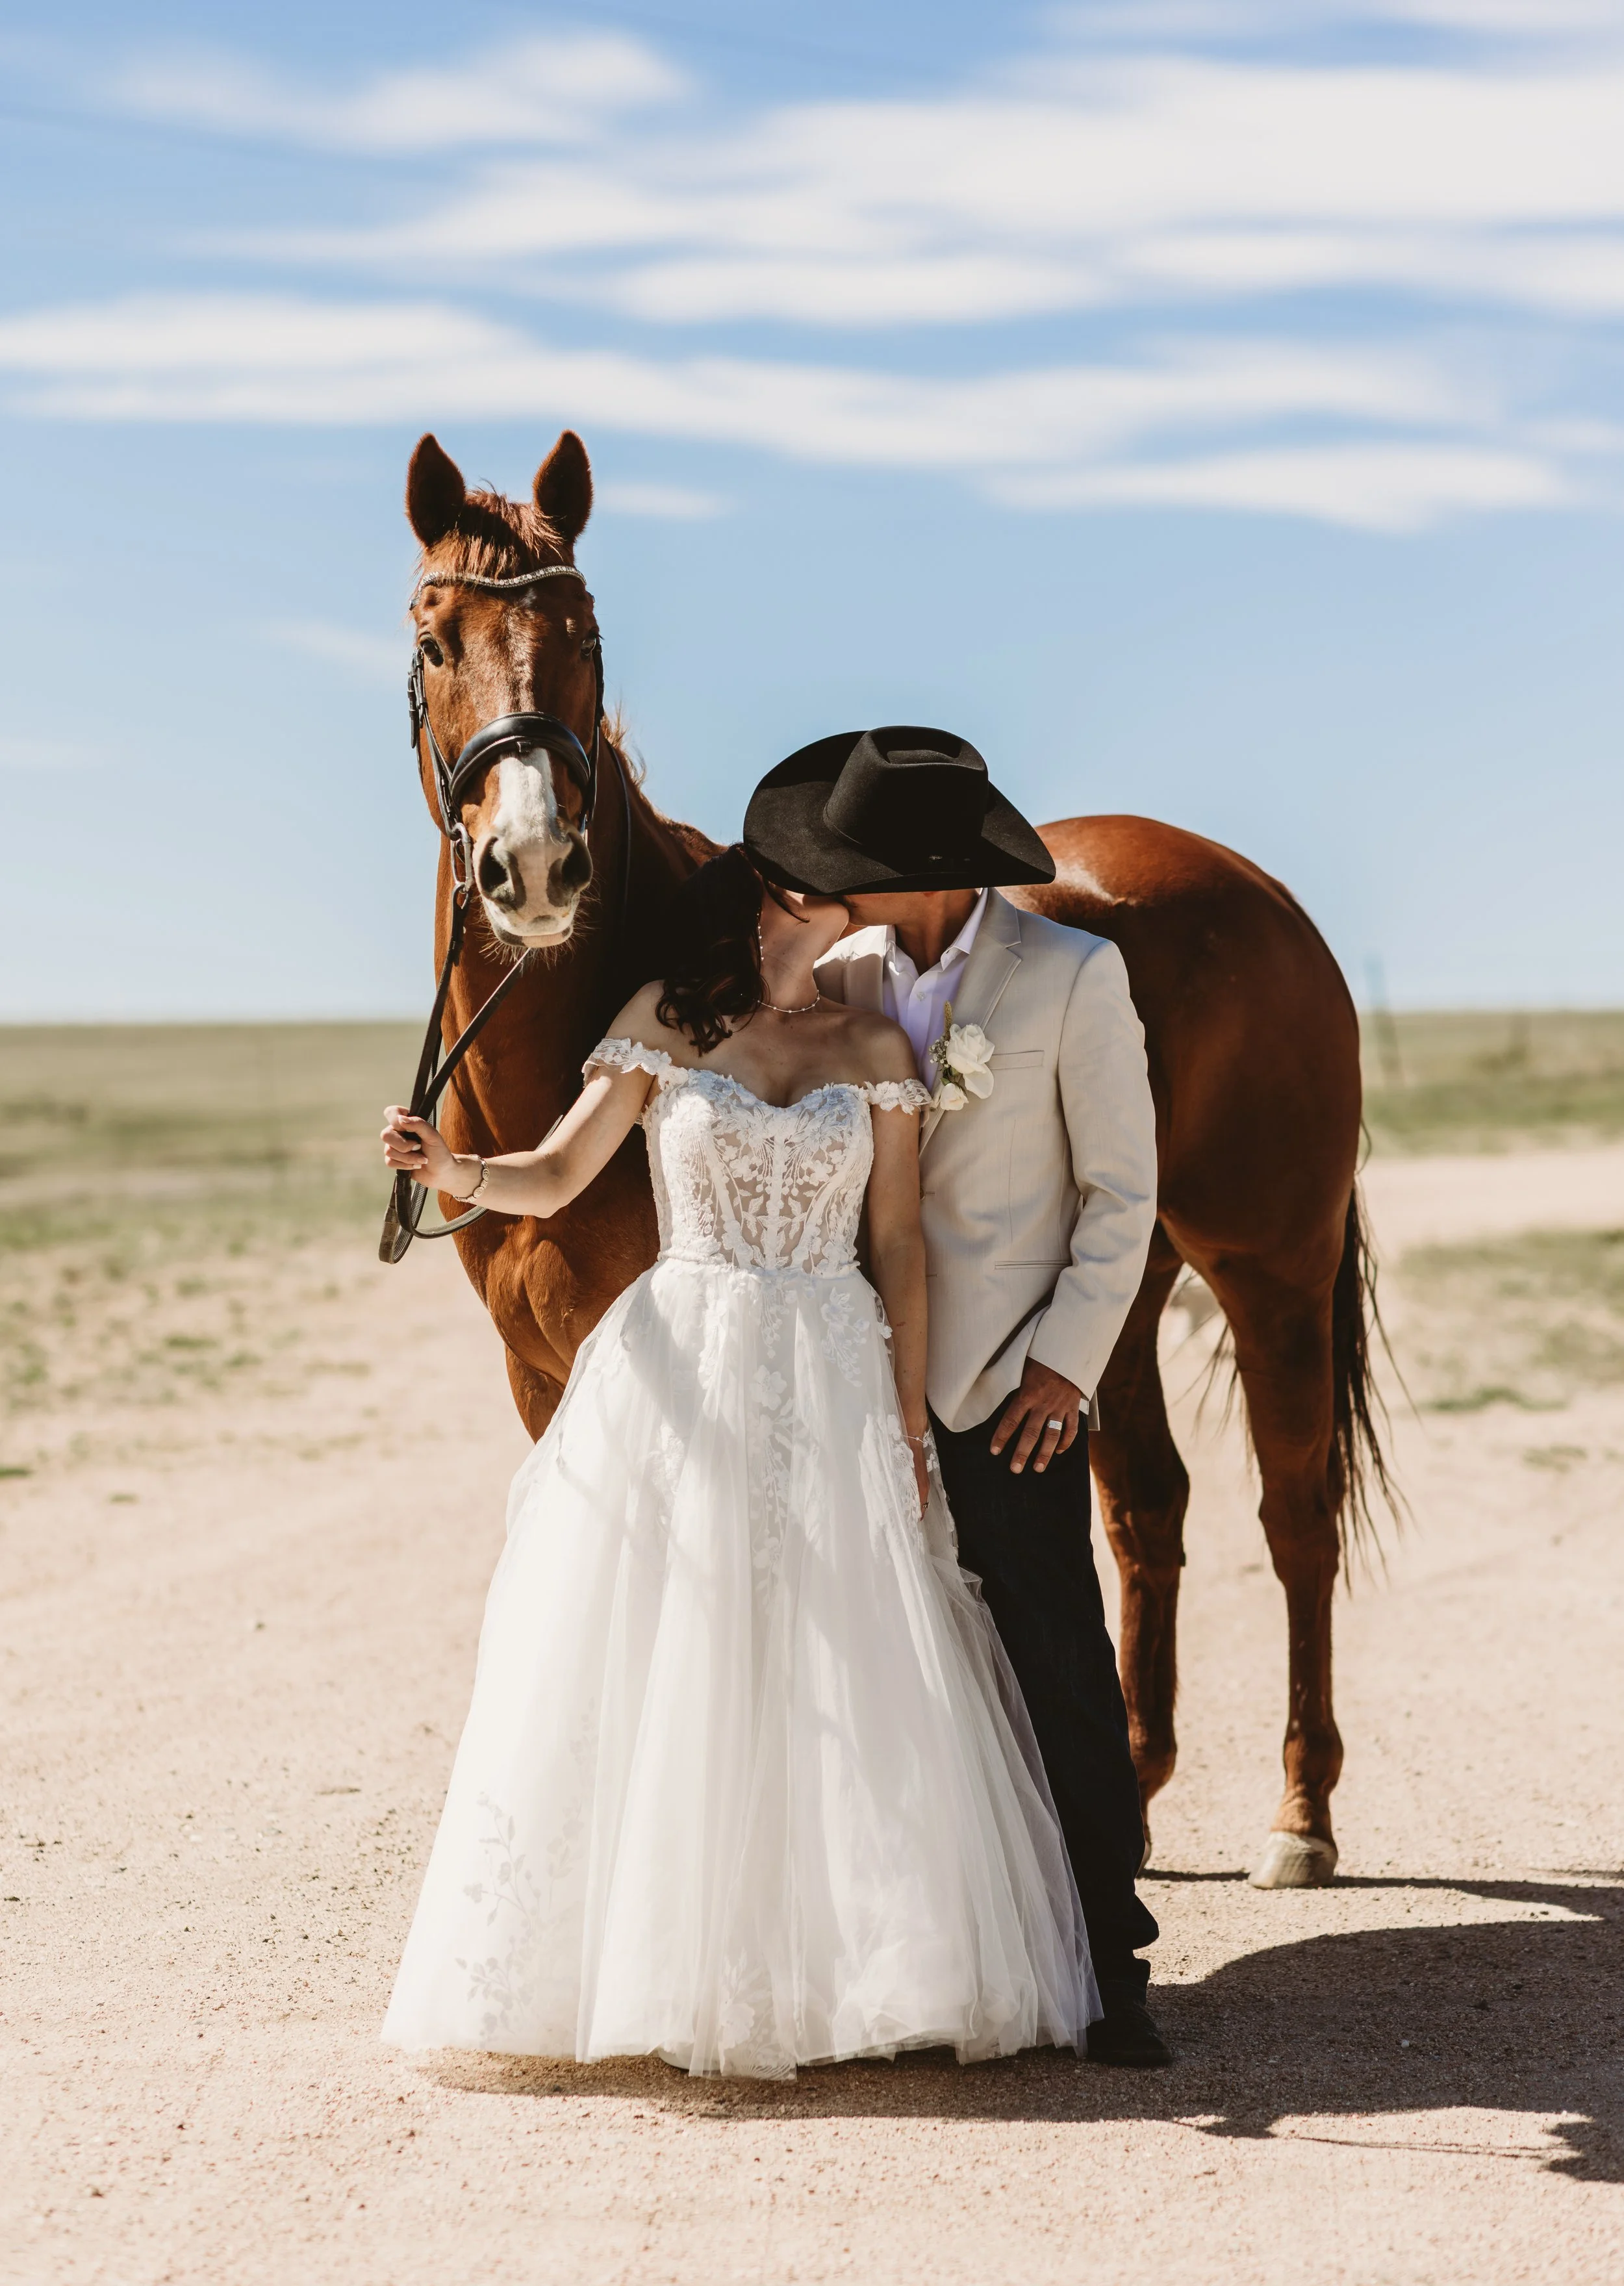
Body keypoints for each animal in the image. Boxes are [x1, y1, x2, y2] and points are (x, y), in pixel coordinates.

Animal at [395, 428, 1390, 1891]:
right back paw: (1132, 1797)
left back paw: (1299, 1813)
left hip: (1270, 1266)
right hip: (1114, 1285)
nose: (533, 866)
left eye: (583, 634)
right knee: (1147, 1504)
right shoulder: (545, 1373)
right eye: (433, 641)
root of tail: (1257, 891)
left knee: (1293, 1513)